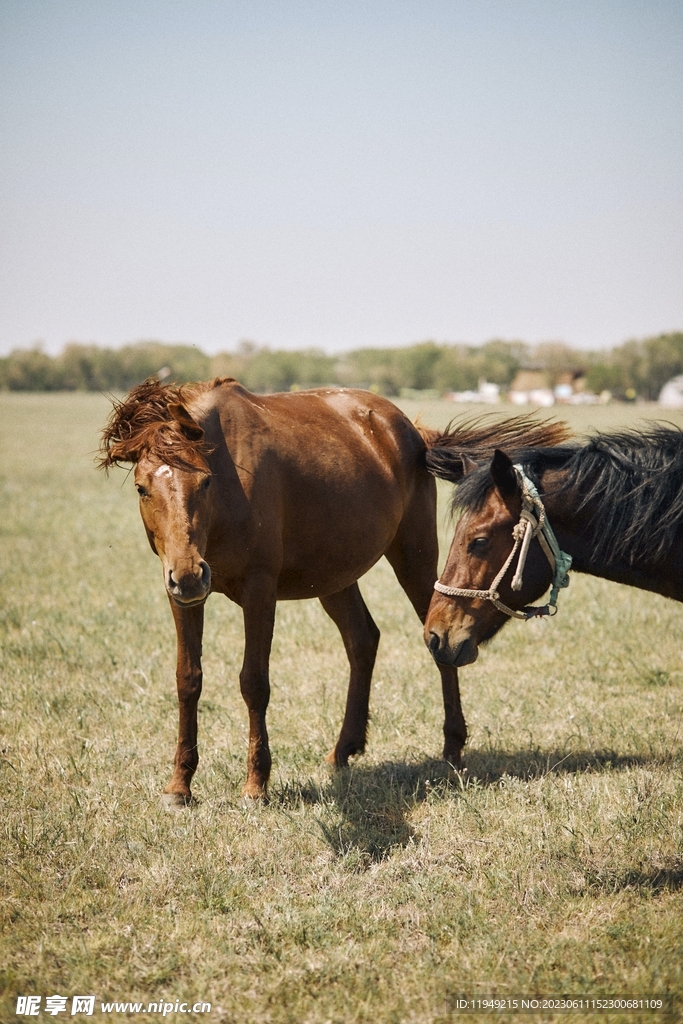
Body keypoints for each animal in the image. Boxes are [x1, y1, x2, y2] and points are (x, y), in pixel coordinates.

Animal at [97, 376, 565, 806]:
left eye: (206, 483)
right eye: (142, 487)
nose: (191, 574)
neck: (229, 491)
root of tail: (411, 431)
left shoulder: (259, 590)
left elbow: (254, 681)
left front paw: (256, 785)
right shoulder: (180, 596)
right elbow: (187, 679)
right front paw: (179, 785)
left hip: (413, 557)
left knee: (440, 643)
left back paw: (452, 748)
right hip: (333, 578)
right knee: (363, 639)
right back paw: (344, 748)